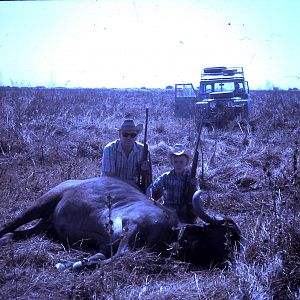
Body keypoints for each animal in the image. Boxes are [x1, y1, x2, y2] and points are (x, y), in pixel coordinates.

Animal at [0, 177, 240, 268]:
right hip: (43, 202)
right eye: (224, 237)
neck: (168, 230)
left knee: (22, 232)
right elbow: (119, 256)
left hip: (46, 223)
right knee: (13, 222)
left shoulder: (105, 246)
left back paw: (8, 238)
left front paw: (78, 262)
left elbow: (101, 256)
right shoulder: (131, 227)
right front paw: (72, 264)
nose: (226, 259)